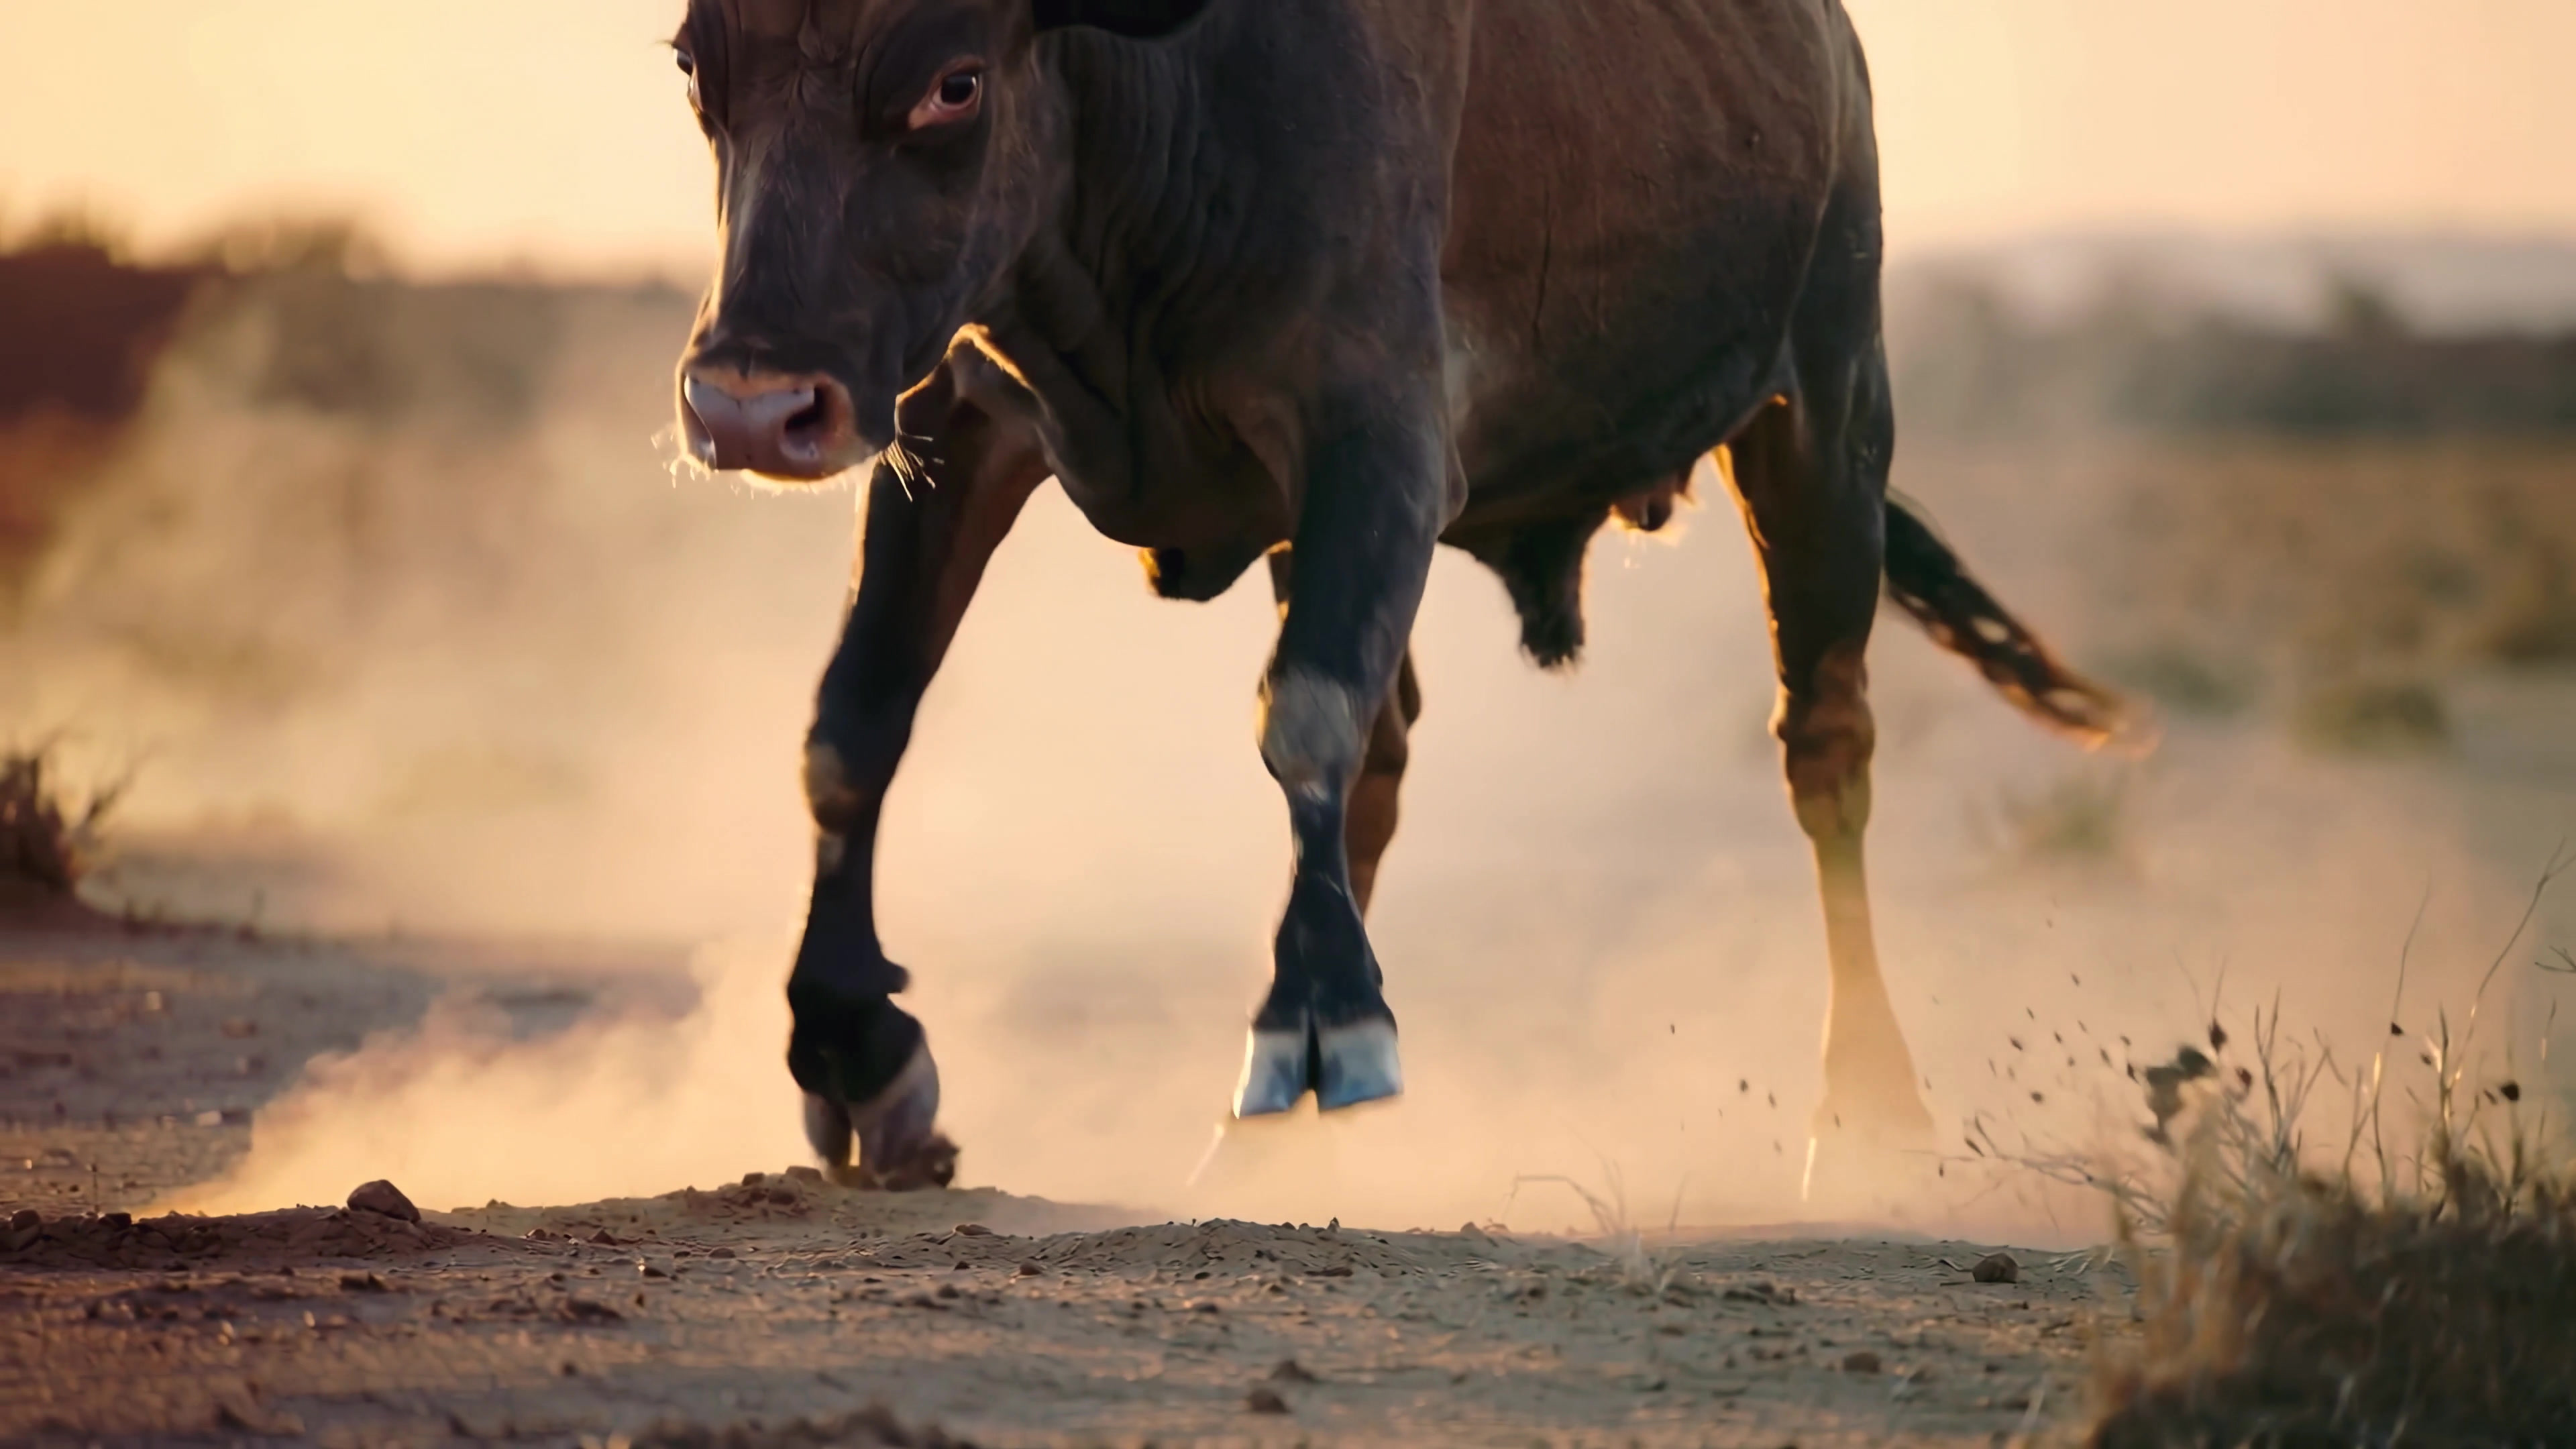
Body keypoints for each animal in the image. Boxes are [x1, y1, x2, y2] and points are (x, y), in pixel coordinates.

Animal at [667, 0, 2133, 1190]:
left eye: (953, 83)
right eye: (695, 64)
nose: (747, 405)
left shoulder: (1378, 434)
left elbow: (1304, 717)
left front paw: (1324, 1028)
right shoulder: (949, 411)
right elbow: (856, 719)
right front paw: (857, 1050)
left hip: (1825, 409)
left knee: (1824, 749)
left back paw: (1870, 1113)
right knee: (1384, 761)